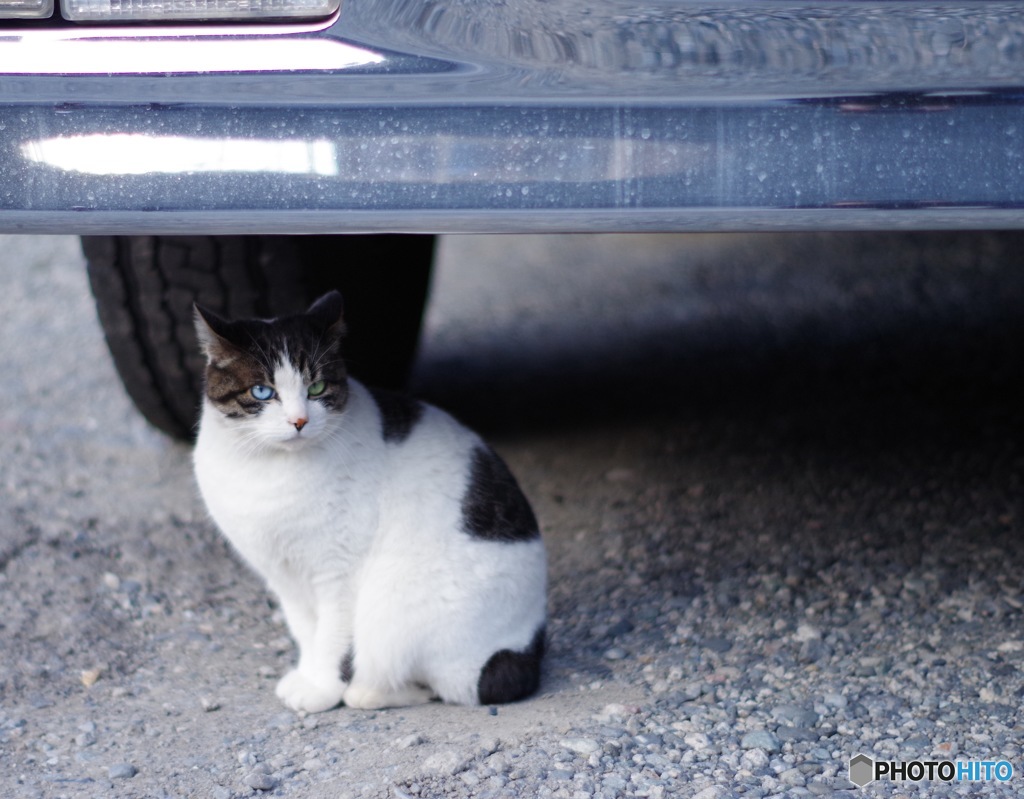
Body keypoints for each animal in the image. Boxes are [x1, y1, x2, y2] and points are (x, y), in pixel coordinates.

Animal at [190, 290, 544, 712]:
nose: (298, 421)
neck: (267, 468)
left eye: (317, 388)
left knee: (456, 685)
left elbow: (332, 637)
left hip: (394, 602)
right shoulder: (284, 576)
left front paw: (321, 688)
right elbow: (306, 630)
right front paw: (307, 674)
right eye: (262, 392)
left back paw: (366, 691)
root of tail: (527, 646)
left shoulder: (338, 571)